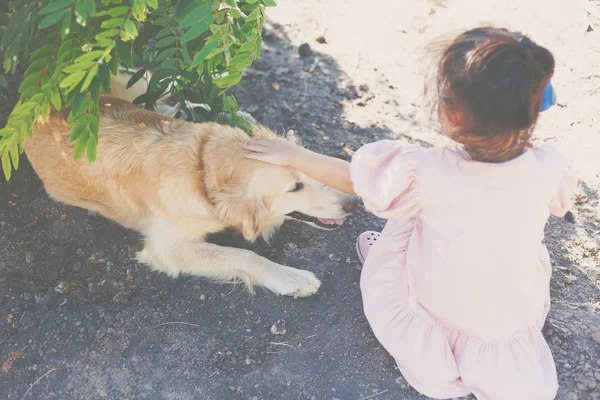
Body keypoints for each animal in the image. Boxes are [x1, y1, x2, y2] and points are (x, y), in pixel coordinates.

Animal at [24, 72, 356, 296]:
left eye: (312, 168)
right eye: (295, 188)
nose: (353, 203)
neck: (203, 168)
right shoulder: (168, 248)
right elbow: (244, 254)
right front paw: (291, 277)